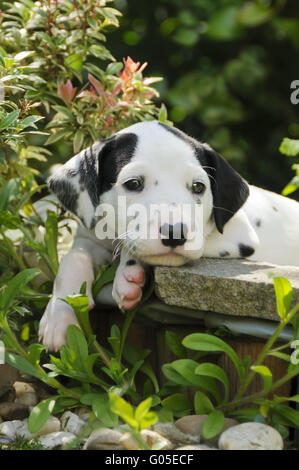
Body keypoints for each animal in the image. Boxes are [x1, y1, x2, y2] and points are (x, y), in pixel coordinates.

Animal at [39, 120, 299, 348]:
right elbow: (73, 260)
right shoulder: (90, 238)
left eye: (198, 187)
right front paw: (59, 316)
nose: (175, 234)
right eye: (133, 183)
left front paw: (128, 272)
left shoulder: (237, 236)